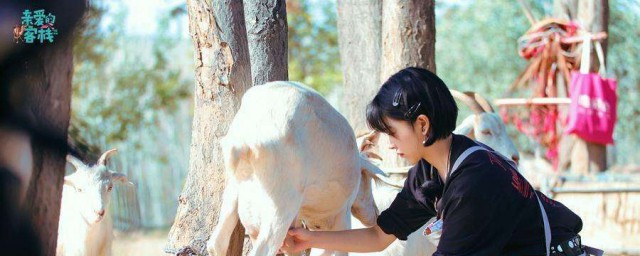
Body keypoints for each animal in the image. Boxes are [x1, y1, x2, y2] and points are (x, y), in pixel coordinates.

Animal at [208, 81, 388, 256]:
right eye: (366, 178)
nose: (375, 214)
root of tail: (245, 140)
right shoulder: (340, 217)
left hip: (234, 190)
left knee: (216, 243)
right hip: (281, 204)